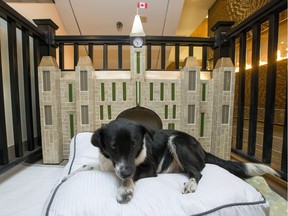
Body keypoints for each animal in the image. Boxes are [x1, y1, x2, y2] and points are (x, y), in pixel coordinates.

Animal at [62, 118, 278, 204]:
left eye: (135, 145)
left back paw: (191, 184)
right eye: (113, 147)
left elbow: (131, 177)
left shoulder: (148, 168)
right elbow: (84, 165)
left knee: (198, 172)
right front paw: (66, 177)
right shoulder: (107, 164)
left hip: (178, 142)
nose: (125, 172)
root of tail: (202, 149)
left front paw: (125, 189)